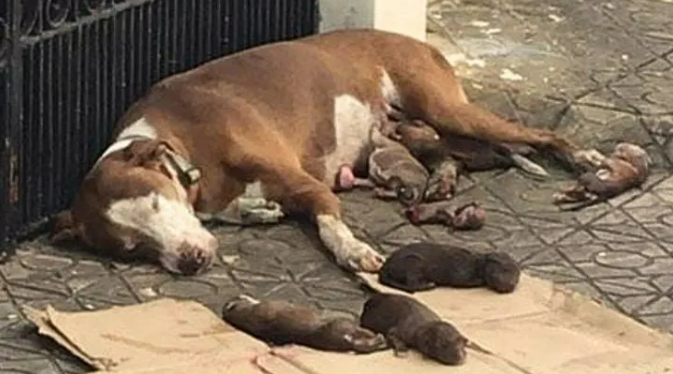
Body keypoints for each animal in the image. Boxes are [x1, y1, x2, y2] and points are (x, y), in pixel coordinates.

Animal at [50, 28, 580, 274]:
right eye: (133, 249)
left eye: (159, 205)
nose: (191, 260)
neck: (189, 151)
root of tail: (417, 42)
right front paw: (258, 212)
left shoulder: (306, 184)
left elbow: (329, 223)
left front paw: (354, 250)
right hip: (426, 128)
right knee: (453, 153)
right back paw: (443, 180)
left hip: (446, 107)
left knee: (541, 136)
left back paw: (585, 163)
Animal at [222, 296, 386, 354]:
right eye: (238, 298)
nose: (240, 294)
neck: (248, 313)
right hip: (345, 324)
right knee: (365, 336)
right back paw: (379, 337)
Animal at [378, 243, 520, 296]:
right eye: (502, 271)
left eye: (516, 276)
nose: (509, 285)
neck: (477, 264)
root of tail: (385, 266)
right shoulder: (461, 272)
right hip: (413, 262)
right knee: (412, 284)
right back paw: (428, 285)